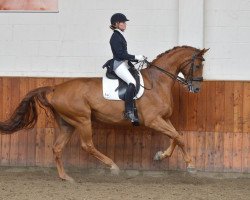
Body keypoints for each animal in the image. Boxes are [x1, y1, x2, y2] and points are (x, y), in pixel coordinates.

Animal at [0, 45, 207, 181]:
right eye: (197, 66)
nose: (197, 89)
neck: (157, 83)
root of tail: (54, 89)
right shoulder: (153, 120)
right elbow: (179, 137)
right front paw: (191, 166)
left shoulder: (164, 118)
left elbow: (176, 137)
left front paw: (161, 156)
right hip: (82, 120)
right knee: (87, 145)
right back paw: (112, 166)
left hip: (67, 124)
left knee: (57, 148)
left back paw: (66, 177)